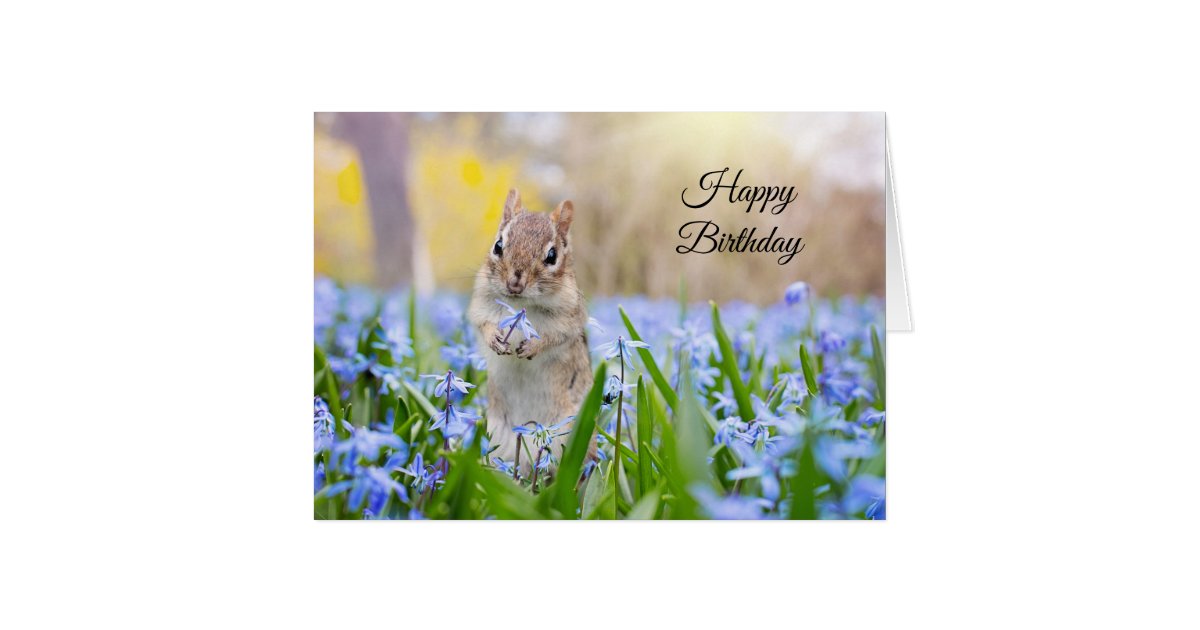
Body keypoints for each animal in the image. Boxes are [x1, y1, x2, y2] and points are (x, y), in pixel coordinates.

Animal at [468, 188, 592, 477]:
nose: (515, 283)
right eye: (498, 245)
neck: (519, 304)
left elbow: (553, 338)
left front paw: (533, 346)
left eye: (552, 255)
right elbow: (483, 324)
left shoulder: (568, 319)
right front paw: (495, 340)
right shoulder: (481, 305)